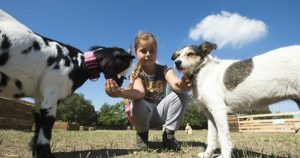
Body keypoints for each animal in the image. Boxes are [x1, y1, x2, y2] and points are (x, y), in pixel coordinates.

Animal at [171, 42, 300, 158]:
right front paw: (207, 154)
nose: (176, 62)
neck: (202, 71)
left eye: (190, 54)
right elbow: (211, 138)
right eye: (178, 55)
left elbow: (224, 138)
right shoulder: (209, 114)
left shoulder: (219, 110)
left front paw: (224, 156)